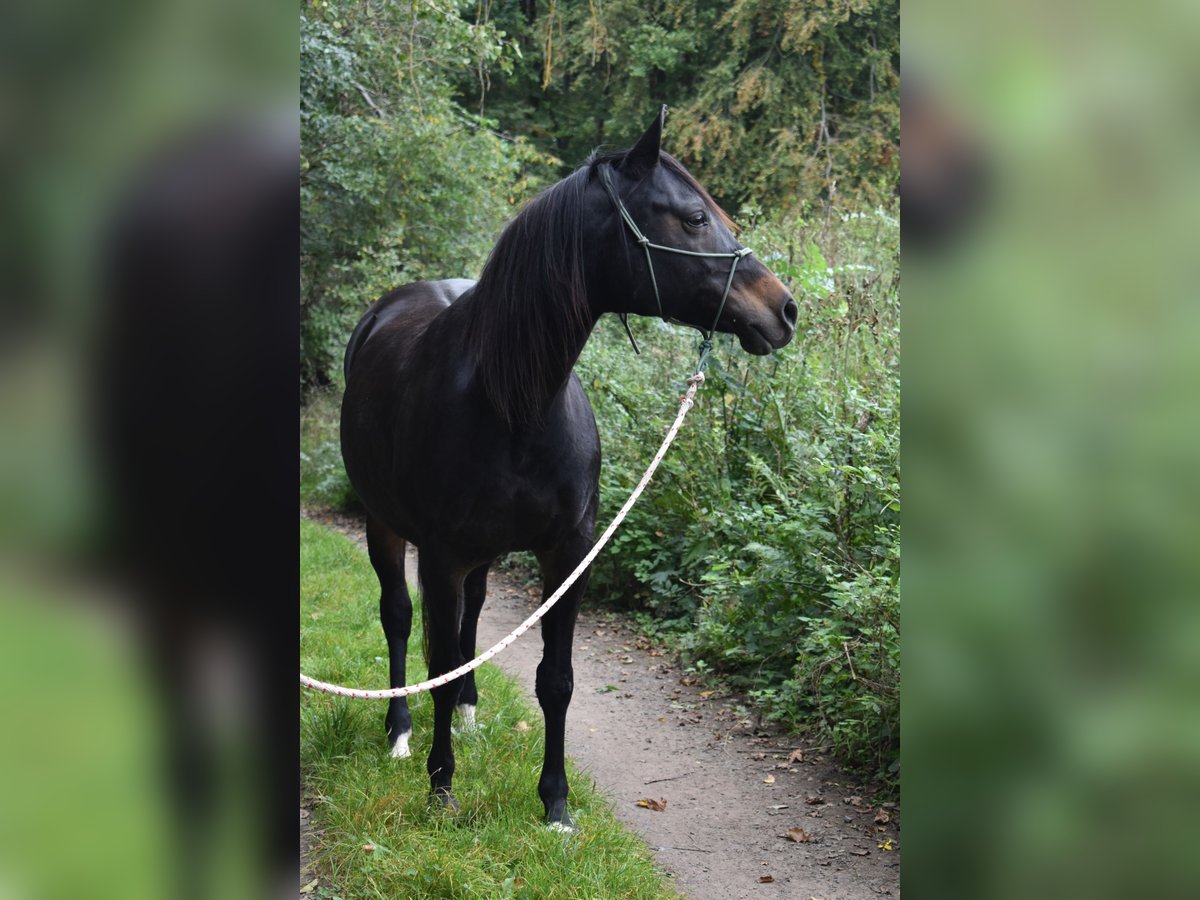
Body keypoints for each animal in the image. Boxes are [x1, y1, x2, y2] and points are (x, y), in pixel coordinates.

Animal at [338, 109, 796, 835]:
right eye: (694, 217)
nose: (784, 308)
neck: (513, 400)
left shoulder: (568, 551)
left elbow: (555, 678)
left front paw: (554, 803)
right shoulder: (440, 555)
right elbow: (439, 657)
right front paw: (442, 788)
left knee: (473, 618)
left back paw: (468, 714)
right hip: (384, 527)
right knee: (400, 619)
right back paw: (401, 729)